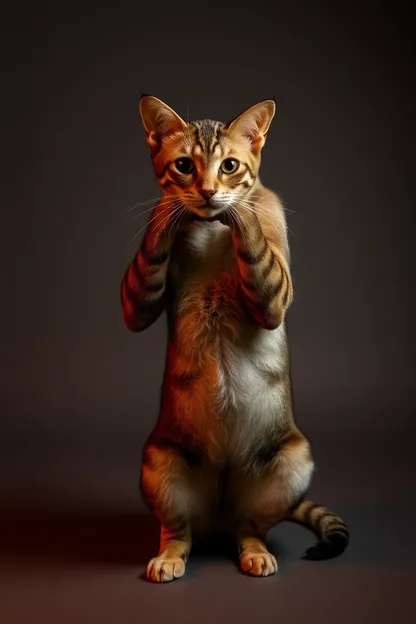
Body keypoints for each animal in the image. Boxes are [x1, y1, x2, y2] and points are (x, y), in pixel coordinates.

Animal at [120, 95, 348, 584]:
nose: (207, 192)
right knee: (179, 532)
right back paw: (168, 558)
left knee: (251, 529)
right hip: (159, 463)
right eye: (184, 165)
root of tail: (221, 515)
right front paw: (166, 212)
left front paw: (240, 209)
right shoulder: (135, 304)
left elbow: (255, 234)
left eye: (229, 166)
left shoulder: (275, 292)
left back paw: (256, 553)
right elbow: (150, 256)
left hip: (293, 461)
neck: (210, 226)